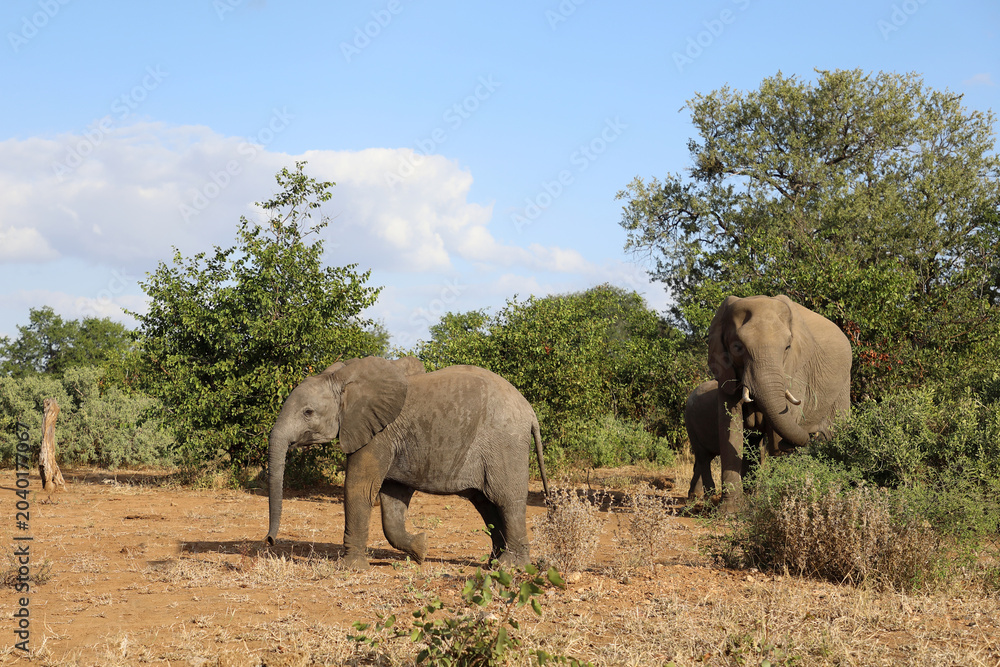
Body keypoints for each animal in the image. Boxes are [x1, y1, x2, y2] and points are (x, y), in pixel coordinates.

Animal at [265, 356, 550, 569]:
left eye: (308, 412)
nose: (269, 541)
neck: (344, 379)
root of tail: (530, 411)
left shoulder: (378, 434)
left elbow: (359, 488)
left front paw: (350, 568)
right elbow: (392, 500)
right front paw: (421, 549)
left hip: (505, 443)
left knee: (506, 500)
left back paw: (511, 567)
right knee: (486, 503)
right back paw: (492, 564)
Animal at [708, 295, 851, 510]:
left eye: (787, 347)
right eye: (737, 347)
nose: (812, 434)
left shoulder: (795, 368)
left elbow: (781, 423)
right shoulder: (725, 368)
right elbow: (730, 427)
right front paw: (729, 512)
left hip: (843, 386)